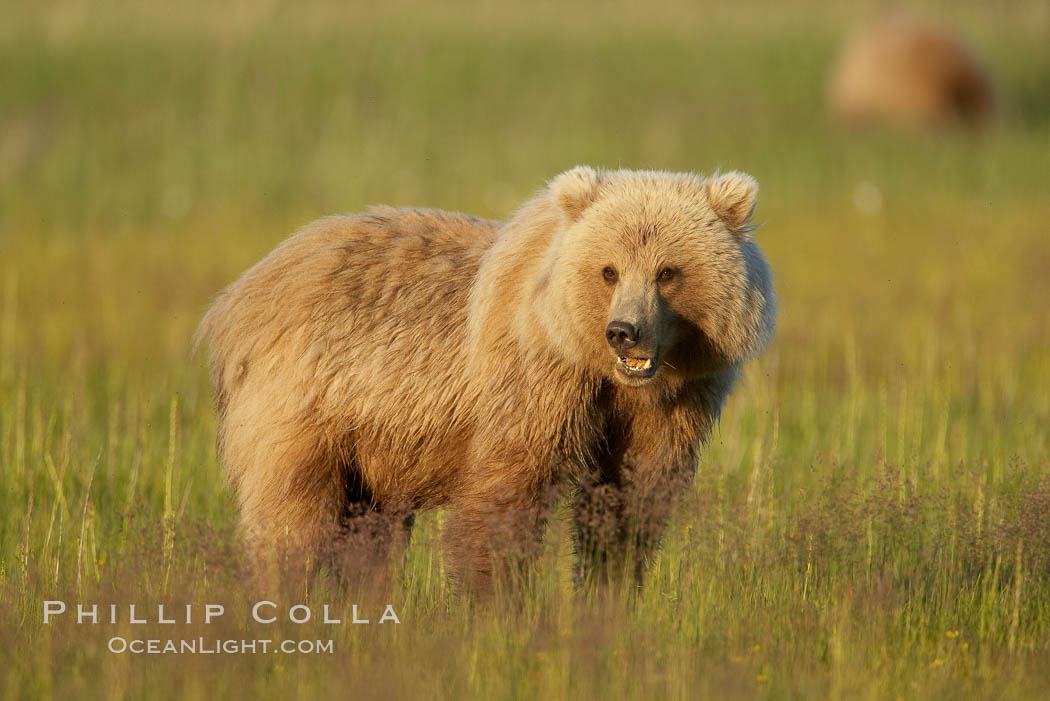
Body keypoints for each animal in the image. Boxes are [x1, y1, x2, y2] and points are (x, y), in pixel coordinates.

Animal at [198, 166, 772, 587]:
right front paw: (494, 603)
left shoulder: (673, 404)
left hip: (373, 446)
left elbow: (630, 502)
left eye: (667, 271)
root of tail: (240, 293)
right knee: (291, 518)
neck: (598, 369)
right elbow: (505, 496)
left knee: (371, 530)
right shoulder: (532, 381)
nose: (624, 331)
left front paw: (607, 591)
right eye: (609, 270)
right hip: (309, 402)